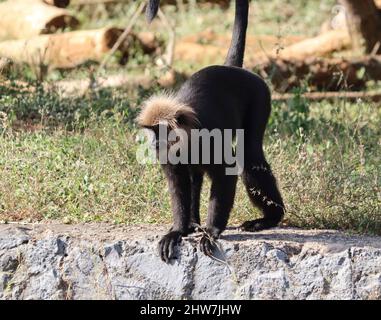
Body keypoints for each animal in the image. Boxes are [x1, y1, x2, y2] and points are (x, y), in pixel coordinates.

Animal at [138, 0, 284, 262]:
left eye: (161, 130)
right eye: (151, 131)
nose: (154, 143)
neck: (186, 140)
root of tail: (232, 69)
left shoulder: (209, 140)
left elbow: (227, 172)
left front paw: (212, 232)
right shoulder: (168, 155)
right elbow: (178, 184)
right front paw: (178, 230)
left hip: (260, 94)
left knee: (250, 154)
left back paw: (270, 219)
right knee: (195, 176)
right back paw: (191, 224)